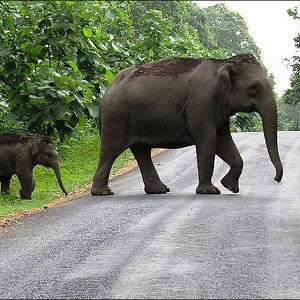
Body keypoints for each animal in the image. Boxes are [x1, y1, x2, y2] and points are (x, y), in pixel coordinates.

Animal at [91, 53, 284, 196]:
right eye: (254, 88)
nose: (276, 179)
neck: (223, 62)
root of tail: (108, 88)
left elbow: (224, 142)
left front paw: (230, 187)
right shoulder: (201, 104)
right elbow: (208, 140)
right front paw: (210, 191)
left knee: (141, 152)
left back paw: (159, 190)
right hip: (116, 116)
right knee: (110, 151)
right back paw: (103, 192)